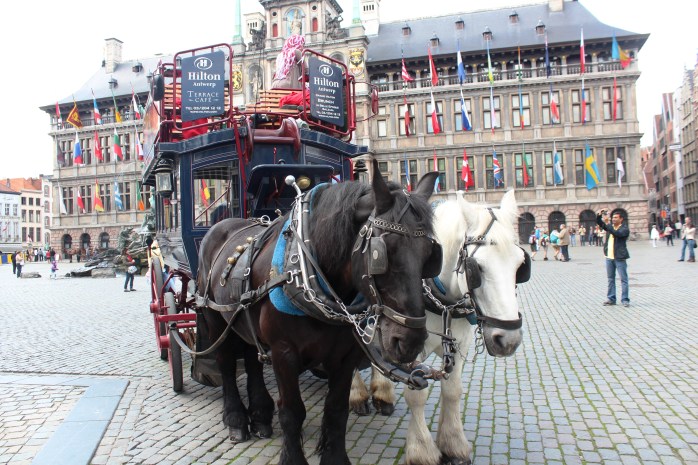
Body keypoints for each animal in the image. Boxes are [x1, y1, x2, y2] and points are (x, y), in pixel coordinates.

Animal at [197, 160, 441, 465]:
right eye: (382, 253)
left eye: (431, 255)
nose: (410, 341)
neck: (306, 269)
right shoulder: (283, 352)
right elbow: (292, 411)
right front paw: (292, 457)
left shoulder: (345, 355)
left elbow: (336, 410)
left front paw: (335, 456)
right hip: (215, 319)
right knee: (227, 364)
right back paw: (237, 420)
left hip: (243, 319)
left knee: (252, 360)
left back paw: (261, 416)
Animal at [350, 190, 529, 465]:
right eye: (477, 268)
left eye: (521, 265)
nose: (508, 340)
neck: (440, 298)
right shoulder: (411, 346)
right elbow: (417, 394)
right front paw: (422, 450)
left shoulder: (458, 343)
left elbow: (453, 390)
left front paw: (453, 444)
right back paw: (357, 396)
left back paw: (382, 394)